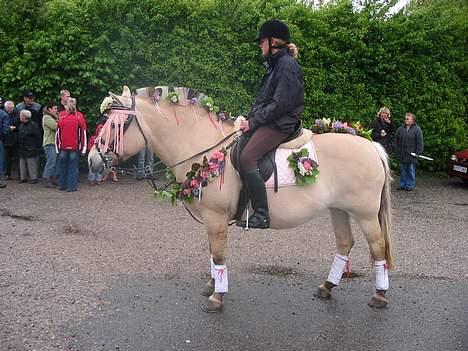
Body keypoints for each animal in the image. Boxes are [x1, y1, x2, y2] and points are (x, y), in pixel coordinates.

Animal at [87, 87, 392, 314]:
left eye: (119, 124)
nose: (92, 160)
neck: (206, 151)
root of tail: (371, 146)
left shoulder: (216, 217)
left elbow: (218, 253)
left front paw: (217, 297)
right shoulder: (212, 219)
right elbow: (212, 252)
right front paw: (213, 284)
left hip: (364, 213)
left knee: (377, 247)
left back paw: (379, 295)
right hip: (338, 209)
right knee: (345, 243)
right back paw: (327, 287)